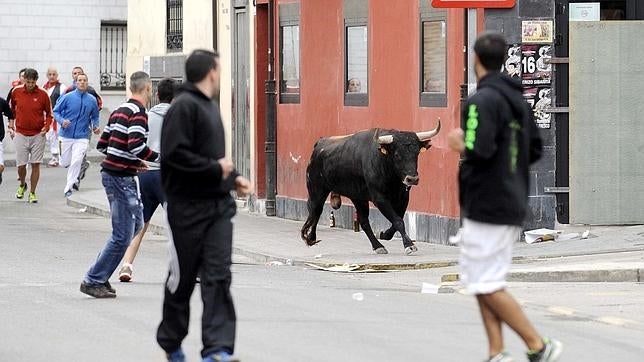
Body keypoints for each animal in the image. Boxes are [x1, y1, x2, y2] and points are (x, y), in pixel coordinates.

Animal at [300, 121, 440, 255]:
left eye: (417, 153)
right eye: (397, 155)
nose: (412, 179)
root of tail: (319, 144)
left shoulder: (404, 197)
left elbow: (398, 219)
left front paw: (386, 234)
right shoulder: (379, 199)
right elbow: (398, 220)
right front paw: (409, 245)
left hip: (358, 197)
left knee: (363, 221)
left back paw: (378, 246)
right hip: (317, 191)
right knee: (315, 211)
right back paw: (310, 238)